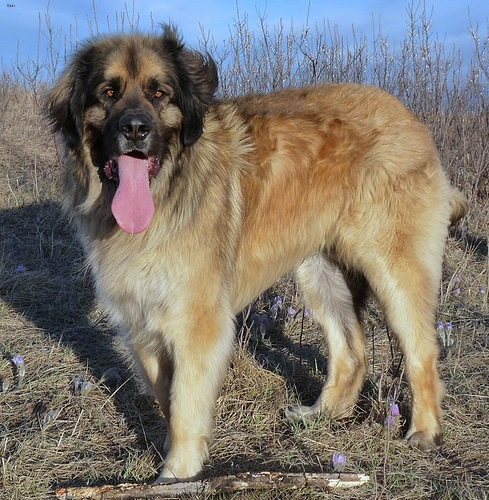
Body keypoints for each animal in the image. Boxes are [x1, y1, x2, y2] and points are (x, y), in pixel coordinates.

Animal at [44, 26, 467, 483]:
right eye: (108, 92)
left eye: (159, 93)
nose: (135, 129)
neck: (168, 188)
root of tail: (411, 120)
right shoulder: (141, 319)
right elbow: (165, 394)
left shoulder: (196, 322)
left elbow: (185, 402)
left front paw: (177, 475)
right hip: (321, 274)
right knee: (351, 349)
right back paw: (322, 415)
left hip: (395, 270)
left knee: (421, 352)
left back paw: (424, 430)